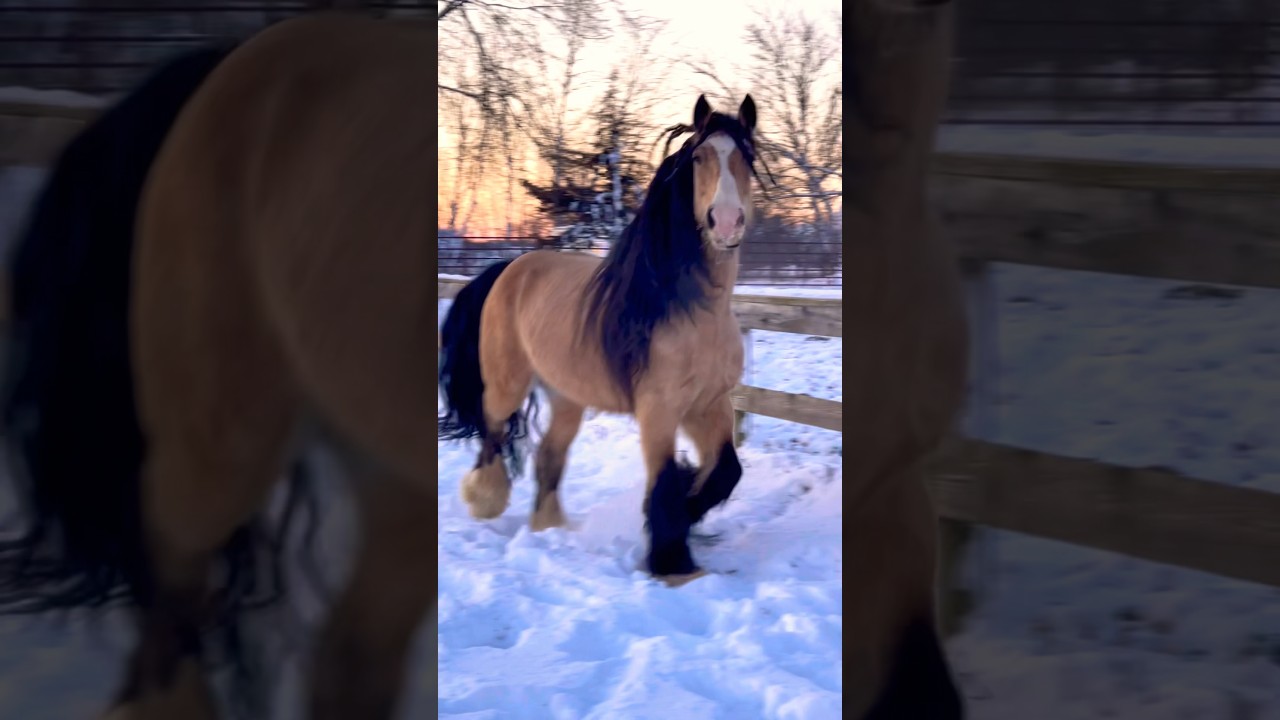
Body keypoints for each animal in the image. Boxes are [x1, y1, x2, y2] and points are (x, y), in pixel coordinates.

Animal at [438, 94, 761, 586]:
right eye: (699, 158)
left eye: (747, 156)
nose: (725, 222)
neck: (694, 312)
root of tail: (508, 268)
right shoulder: (659, 411)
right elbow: (664, 482)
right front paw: (673, 562)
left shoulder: (709, 405)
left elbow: (726, 470)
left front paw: (688, 511)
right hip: (507, 386)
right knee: (493, 437)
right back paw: (485, 502)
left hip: (567, 397)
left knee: (549, 457)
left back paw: (549, 527)